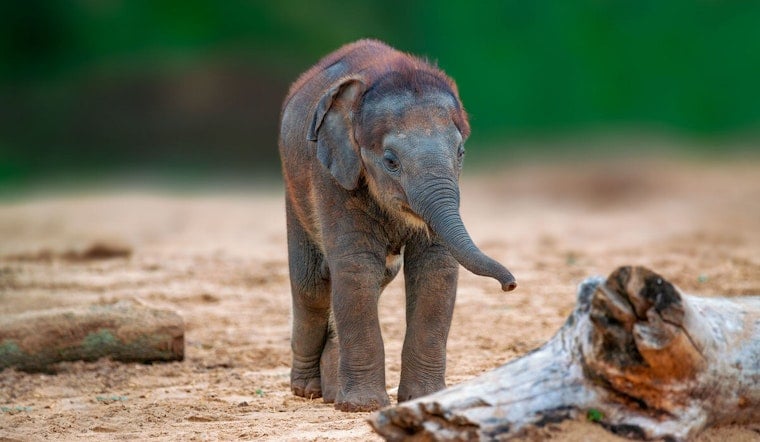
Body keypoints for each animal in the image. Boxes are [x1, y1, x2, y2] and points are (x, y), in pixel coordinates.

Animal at [278, 39, 517, 412]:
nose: (510, 285)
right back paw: (307, 390)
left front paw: (423, 398)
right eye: (390, 161)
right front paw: (363, 407)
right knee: (313, 283)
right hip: (294, 188)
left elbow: (436, 267)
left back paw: (331, 392)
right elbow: (356, 266)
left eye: (461, 153)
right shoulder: (332, 174)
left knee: (380, 274)